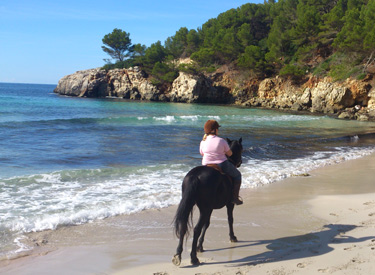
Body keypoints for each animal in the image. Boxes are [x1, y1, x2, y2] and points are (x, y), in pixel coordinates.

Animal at [173, 138, 244, 268]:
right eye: (241, 149)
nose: (240, 162)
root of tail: (195, 176)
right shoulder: (229, 204)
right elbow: (230, 220)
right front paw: (232, 237)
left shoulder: (210, 208)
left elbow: (207, 224)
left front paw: (200, 246)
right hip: (204, 208)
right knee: (196, 229)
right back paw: (194, 258)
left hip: (191, 204)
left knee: (183, 227)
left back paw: (178, 255)